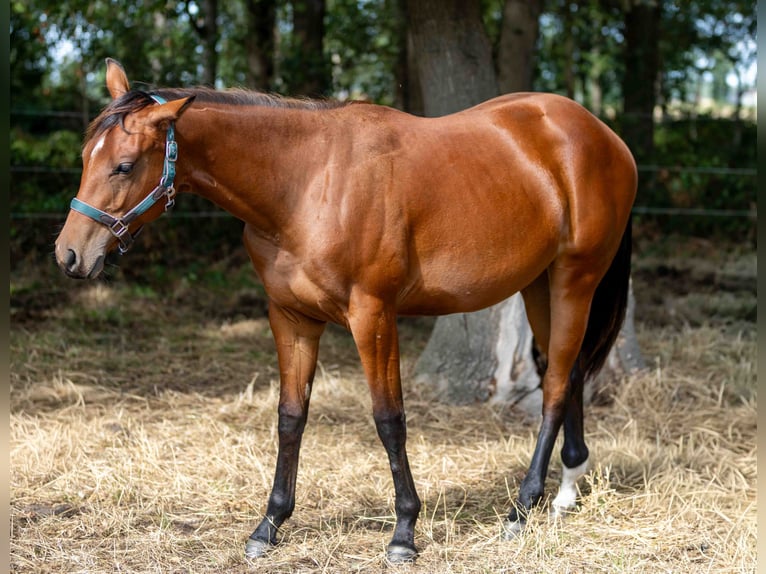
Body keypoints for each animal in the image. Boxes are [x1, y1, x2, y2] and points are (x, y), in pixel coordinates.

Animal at [55, 58, 636, 563]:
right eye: (85, 159)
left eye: (124, 166)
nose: (69, 255)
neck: (304, 184)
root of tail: (602, 136)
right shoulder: (290, 318)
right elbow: (291, 417)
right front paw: (269, 525)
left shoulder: (373, 317)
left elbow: (389, 420)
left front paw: (404, 532)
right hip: (540, 284)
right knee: (566, 374)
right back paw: (564, 492)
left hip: (574, 280)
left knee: (557, 384)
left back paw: (522, 508)